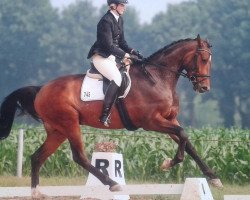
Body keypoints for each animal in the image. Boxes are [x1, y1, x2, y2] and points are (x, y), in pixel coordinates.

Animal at [0, 35, 223, 198]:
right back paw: (113, 184)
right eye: (203, 59)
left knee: (37, 157)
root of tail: (41, 89)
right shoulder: (151, 122)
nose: (204, 88)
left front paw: (213, 178)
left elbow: (188, 142)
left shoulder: (169, 119)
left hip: (57, 130)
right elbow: (183, 134)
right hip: (70, 124)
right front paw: (169, 163)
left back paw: (36, 193)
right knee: (79, 157)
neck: (157, 78)